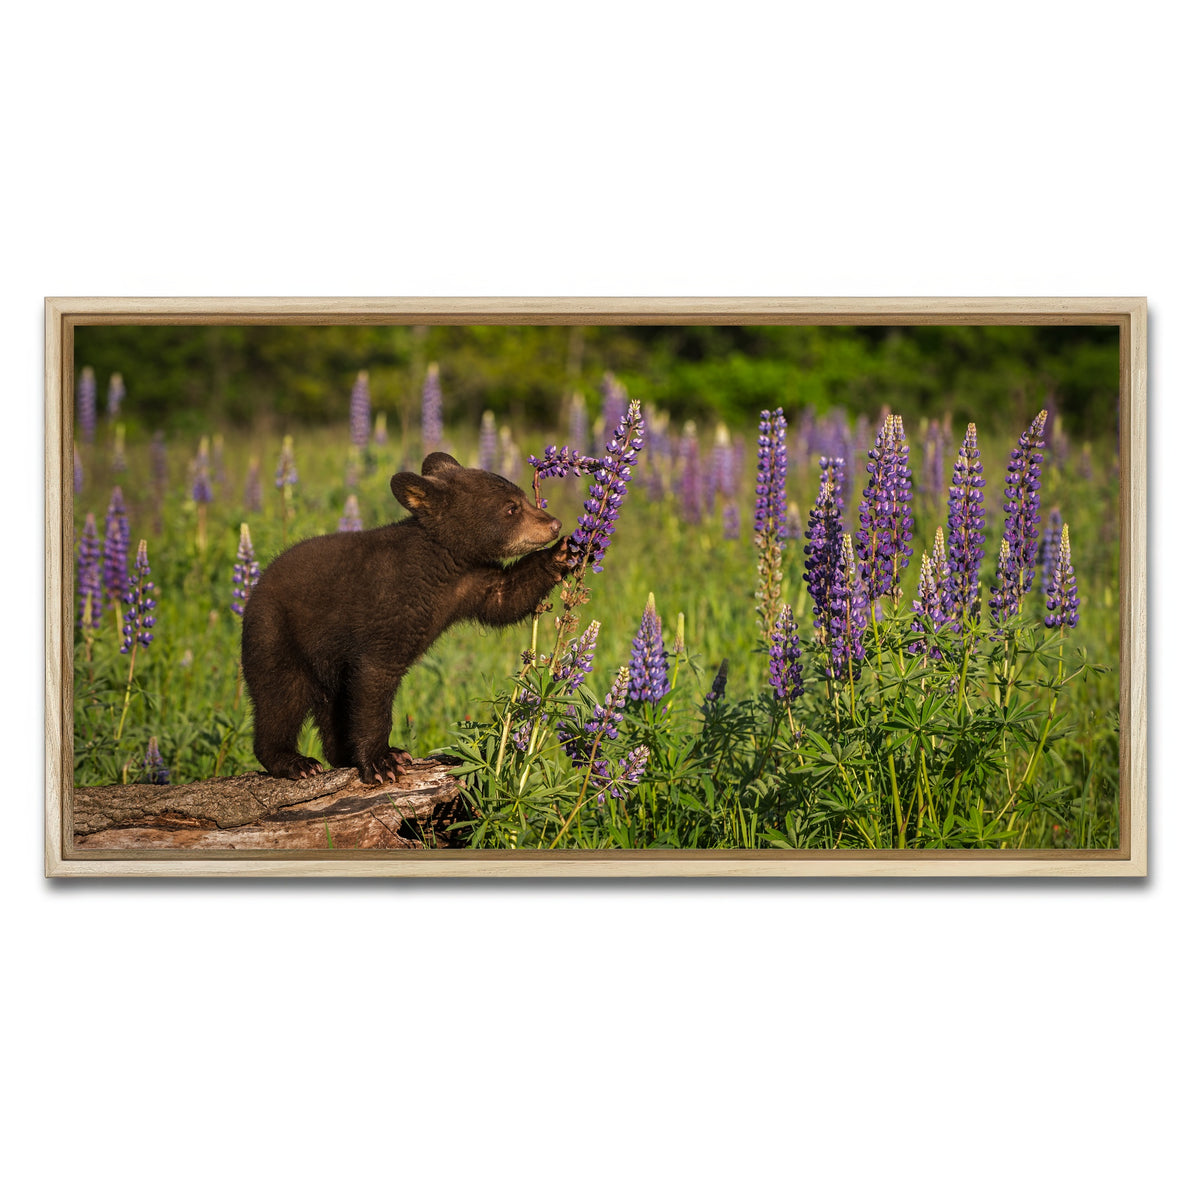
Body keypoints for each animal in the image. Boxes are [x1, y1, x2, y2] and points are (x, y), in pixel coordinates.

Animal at [241, 451, 569, 783]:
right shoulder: (387, 608)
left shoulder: (471, 582)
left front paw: (565, 553)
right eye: (511, 508)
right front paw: (382, 761)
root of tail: (254, 590)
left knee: (332, 705)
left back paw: (341, 755)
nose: (554, 524)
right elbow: (375, 679)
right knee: (281, 697)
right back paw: (295, 762)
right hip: (276, 635)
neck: (442, 564)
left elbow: (506, 597)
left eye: (524, 498)